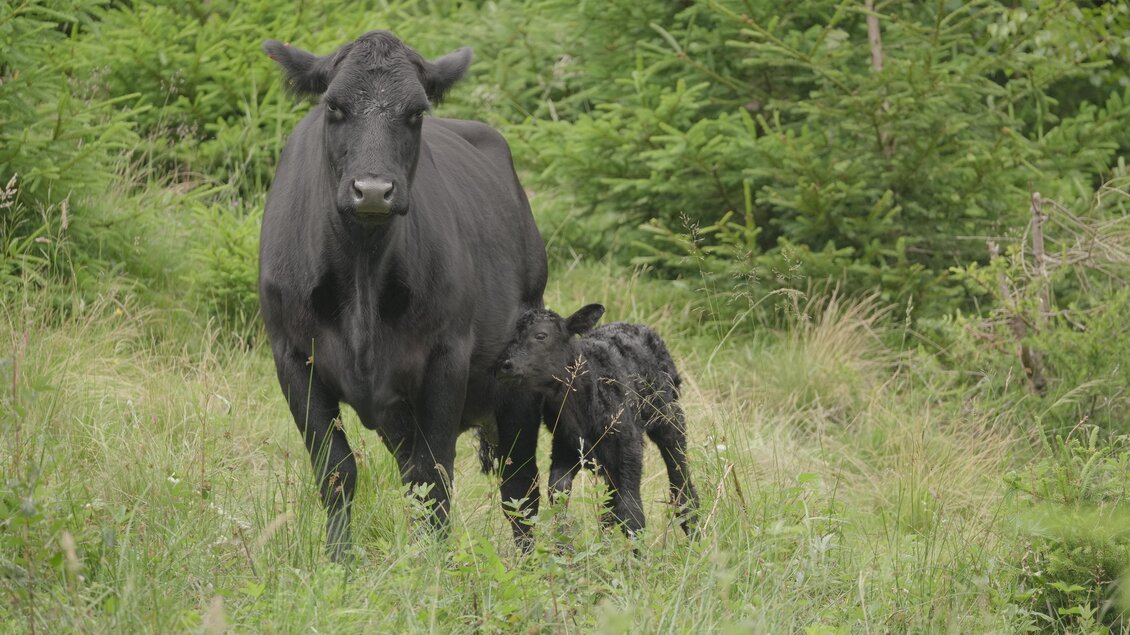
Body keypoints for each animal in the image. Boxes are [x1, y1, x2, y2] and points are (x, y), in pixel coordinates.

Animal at [258, 31, 548, 560]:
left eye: (416, 113)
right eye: (334, 107)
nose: (373, 190)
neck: (362, 272)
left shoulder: (446, 357)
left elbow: (433, 476)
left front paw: (431, 565)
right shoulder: (291, 357)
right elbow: (337, 471)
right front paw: (339, 561)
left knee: (520, 487)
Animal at [496, 304, 699, 538]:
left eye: (541, 335)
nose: (505, 365)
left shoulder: (629, 444)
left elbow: (631, 511)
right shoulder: (566, 445)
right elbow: (558, 491)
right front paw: (564, 543)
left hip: (668, 415)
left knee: (680, 482)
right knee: (610, 501)